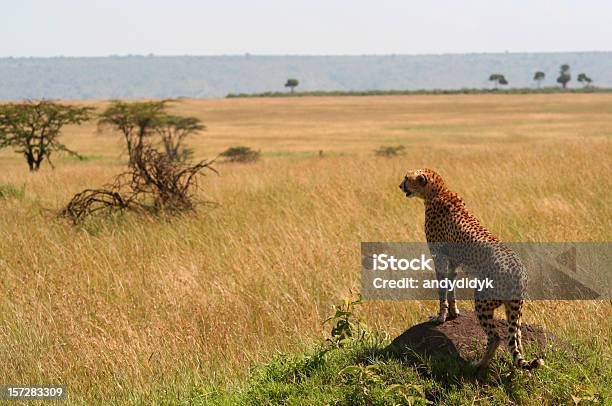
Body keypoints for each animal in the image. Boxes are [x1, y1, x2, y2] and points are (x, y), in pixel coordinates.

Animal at [400, 167, 544, 370]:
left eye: (407, 178)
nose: (400, 185)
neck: (438, 191)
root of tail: (518, 271)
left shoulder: (439, 256)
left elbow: (442, 288)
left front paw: (440, 317)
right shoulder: (453, 260)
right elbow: (450, 286)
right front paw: (453, 312)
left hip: (483, 300)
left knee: (496, 337)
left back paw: (478, 364)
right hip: (515, 308)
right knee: (516, 338)